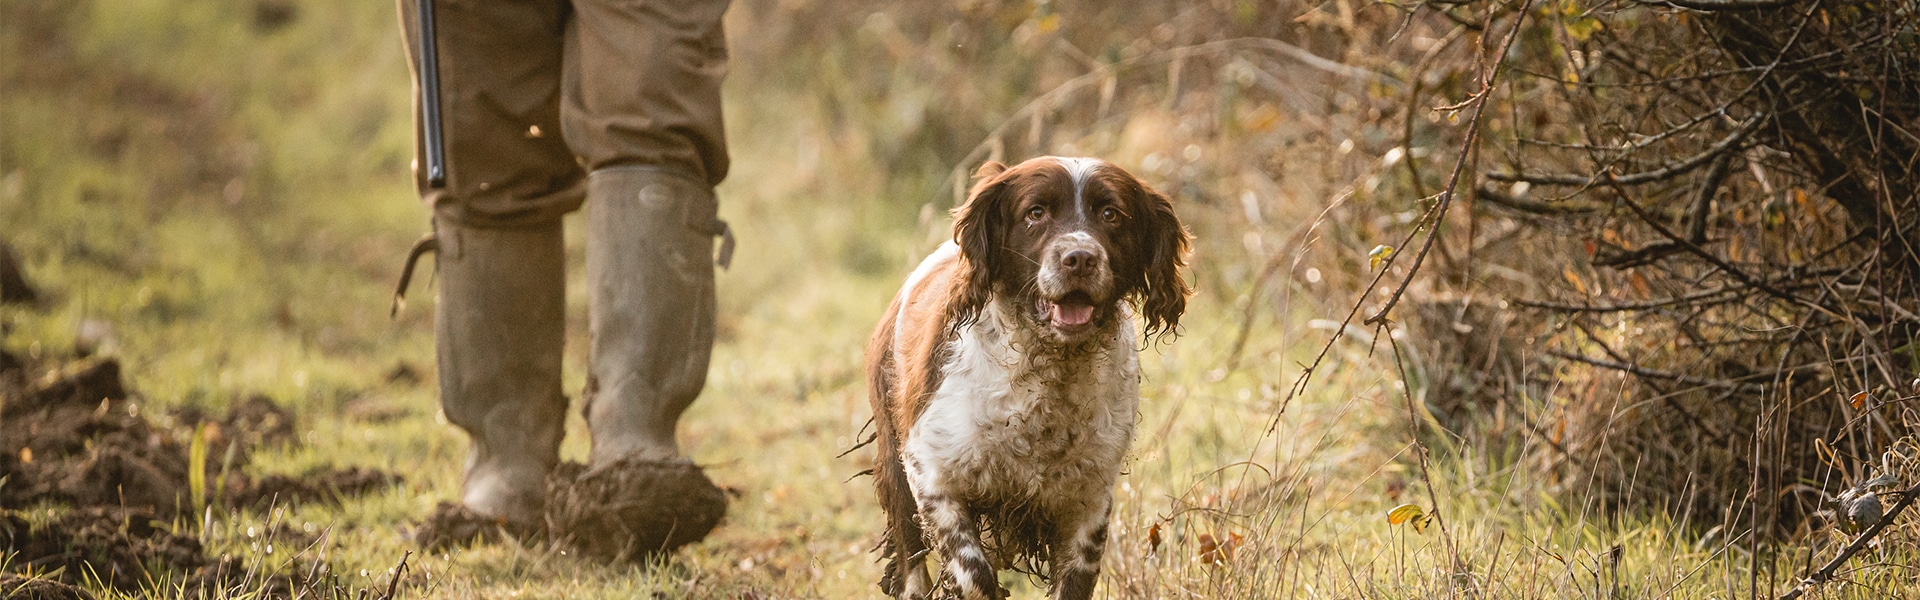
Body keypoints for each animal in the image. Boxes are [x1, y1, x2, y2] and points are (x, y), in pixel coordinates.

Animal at [867, 156, 1182, 596]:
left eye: (1111, 214)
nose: (1080, 258)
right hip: (894, 468)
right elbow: (974, 574)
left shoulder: (1089, 502)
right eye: (1036, 213)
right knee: (911, 558)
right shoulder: (930, 471)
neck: (1049, 373)